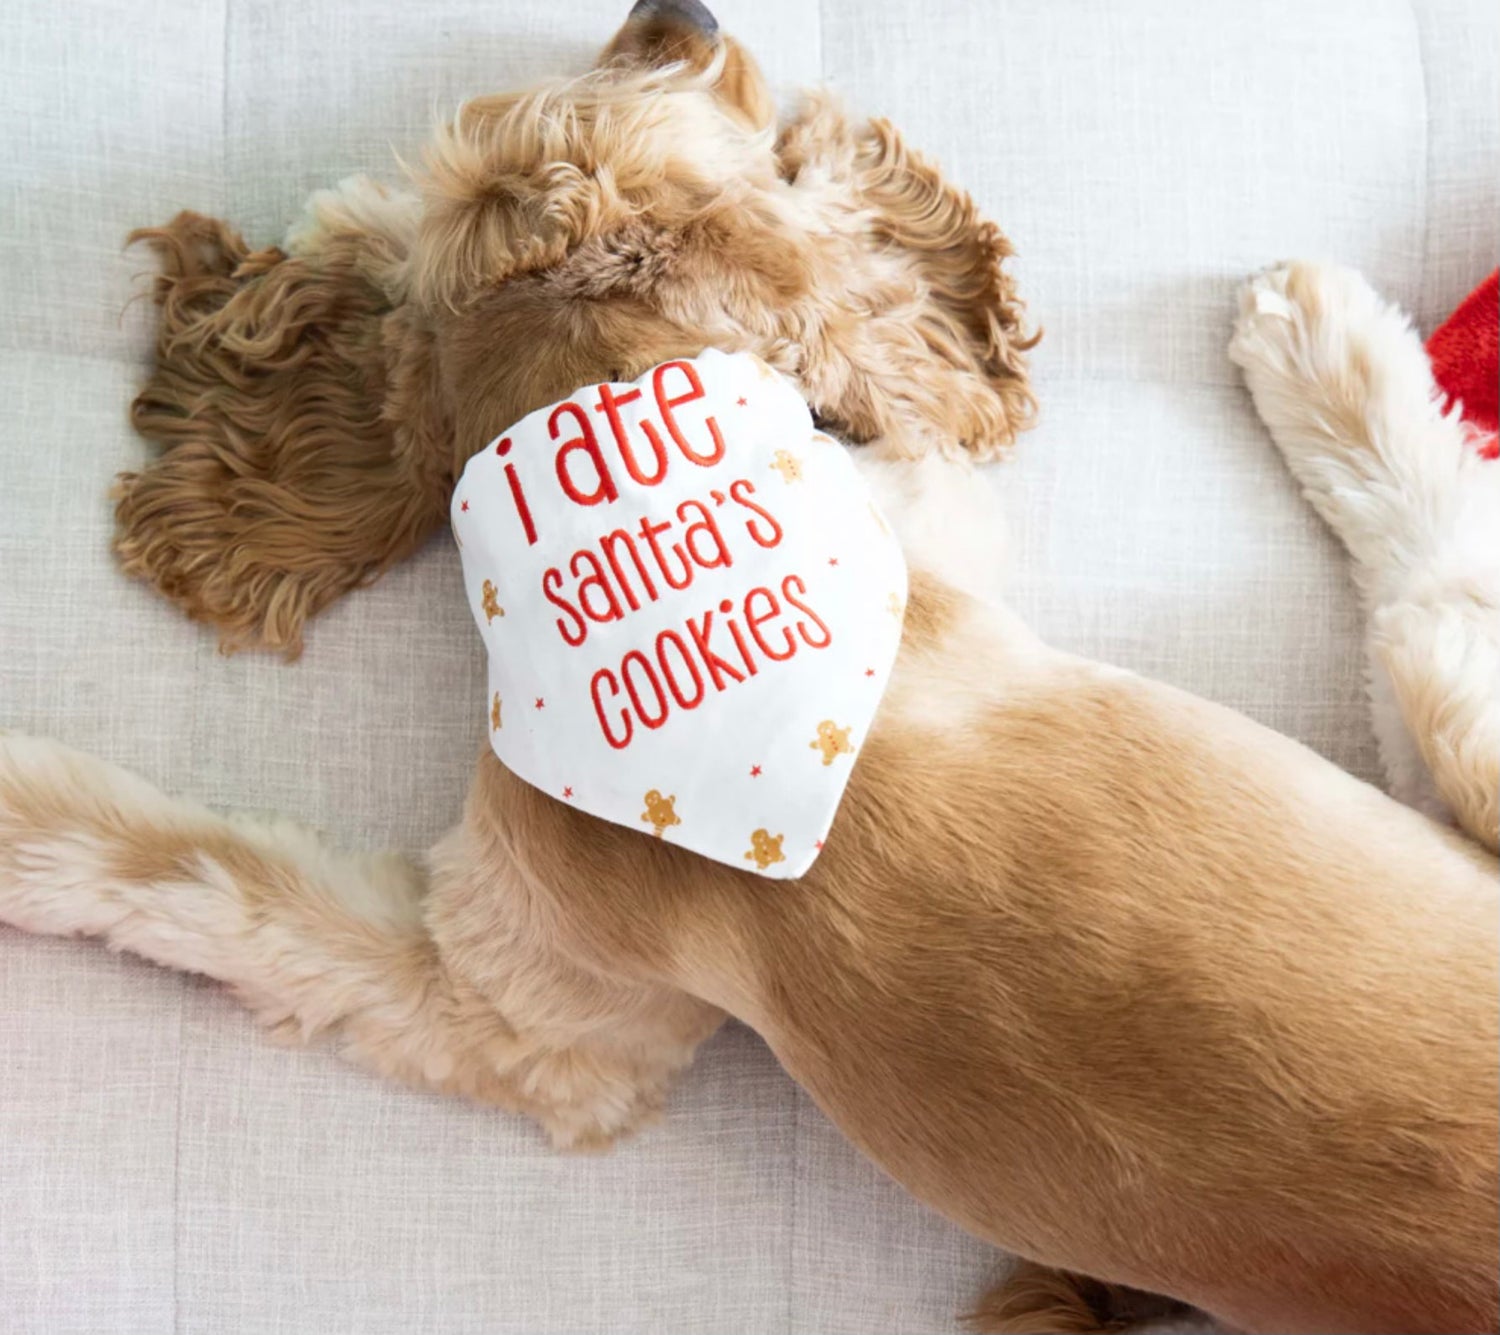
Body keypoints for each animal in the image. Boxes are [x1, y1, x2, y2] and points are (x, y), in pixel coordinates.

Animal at [0, 2, 1494, 1332]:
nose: (682, 8)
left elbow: (218, 884)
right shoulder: (528, 1020)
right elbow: (213, 883)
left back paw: (1321, 334)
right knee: (1434, 591)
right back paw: (1332, 337)